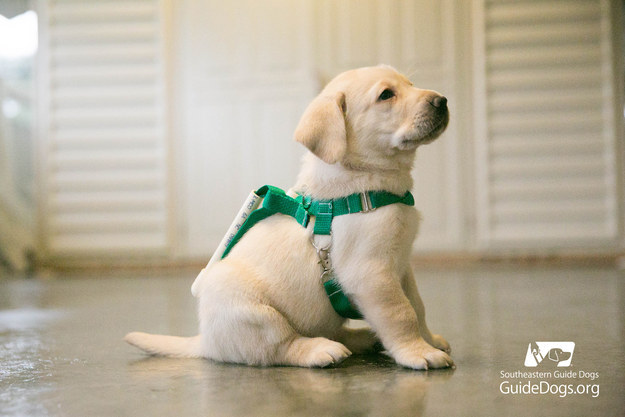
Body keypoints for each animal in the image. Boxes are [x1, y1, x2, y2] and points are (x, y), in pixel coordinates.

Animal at [124, 66, 450, 370]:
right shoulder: (372, 274)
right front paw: (418, 352)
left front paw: (430, 340)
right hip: (256, 314)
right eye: (386, 95)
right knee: (281, 347)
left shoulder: (401, 267)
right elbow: (401, 313)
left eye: (410, 84)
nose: (442, 101)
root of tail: (207, 341)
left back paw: (362, 338)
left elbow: (417, 305)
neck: (365, 183)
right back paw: (321, 350)